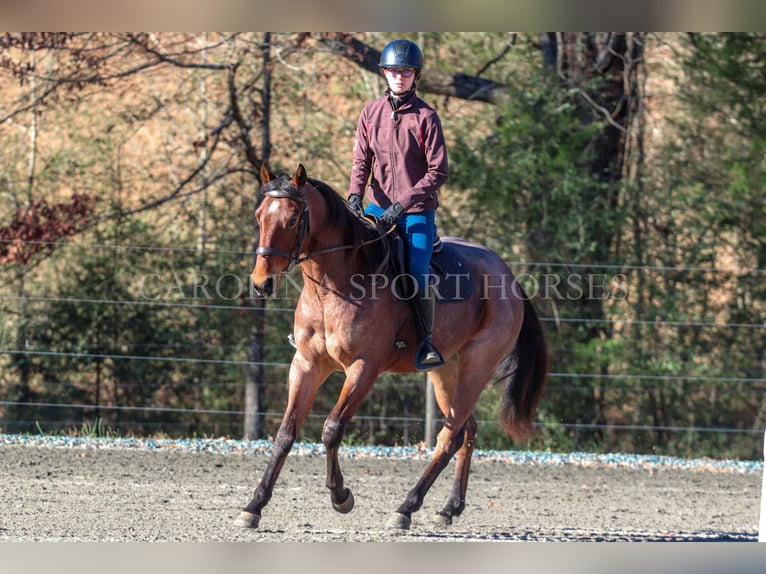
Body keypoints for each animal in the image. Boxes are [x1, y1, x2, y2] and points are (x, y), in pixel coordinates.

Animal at [237, 162, 548, 532]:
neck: (334, 285)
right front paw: (254, 505)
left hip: (477, 365)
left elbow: (332, 429)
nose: (262, 283)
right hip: (446, 370)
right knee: (464, 431)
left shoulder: (363, 368)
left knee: (448, 437)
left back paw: (406, 508)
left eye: (293, 219)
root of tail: (508, 275)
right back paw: (449, 508)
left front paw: (341, 496)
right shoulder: (307, 365)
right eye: (259, 216)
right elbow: (285, 433)